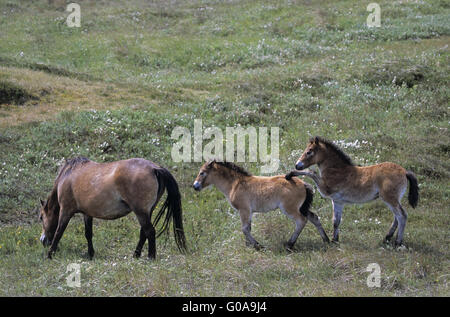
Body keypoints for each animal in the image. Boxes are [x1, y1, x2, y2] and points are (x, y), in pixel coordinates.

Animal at [39, 157, 186, 258]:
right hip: (146, 212)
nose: (43, 240)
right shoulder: (87, 213)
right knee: (144, 232)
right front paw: (91, 254)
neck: (68, 175)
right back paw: (136, 255)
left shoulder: (66, 211)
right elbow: (88, 234)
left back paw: (151, 257)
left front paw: (49, 254)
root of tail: (155, 168)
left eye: (41, 217)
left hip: (141, 212)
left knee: (150, 231)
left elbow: (59, 232)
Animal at [192, 160, 328, 249]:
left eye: (202, 172)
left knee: (301, 221)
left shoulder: (244, 210)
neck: (235, 184)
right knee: (314, 218)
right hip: (302, 208)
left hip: (290, 209)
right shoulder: (249, 212)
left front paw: (258, 246)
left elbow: (244, 229)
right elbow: (248, 228)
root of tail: (303, 184)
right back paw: (326, 240)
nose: (195, 186)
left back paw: (289, 244)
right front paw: (249, 246)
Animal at [286, 135, 420, 246]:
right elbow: (336, 221)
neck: (337, 170)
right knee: (397, 217)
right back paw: (387, 238)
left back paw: (398, 242)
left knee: (402, 216)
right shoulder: (338, 201)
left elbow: (311, 172)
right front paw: (335, 240)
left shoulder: (325, 188)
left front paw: (290, 174)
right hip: (394, 199)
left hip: (389, 198)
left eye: (309, 151)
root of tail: (404, 171)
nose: (297, 165)